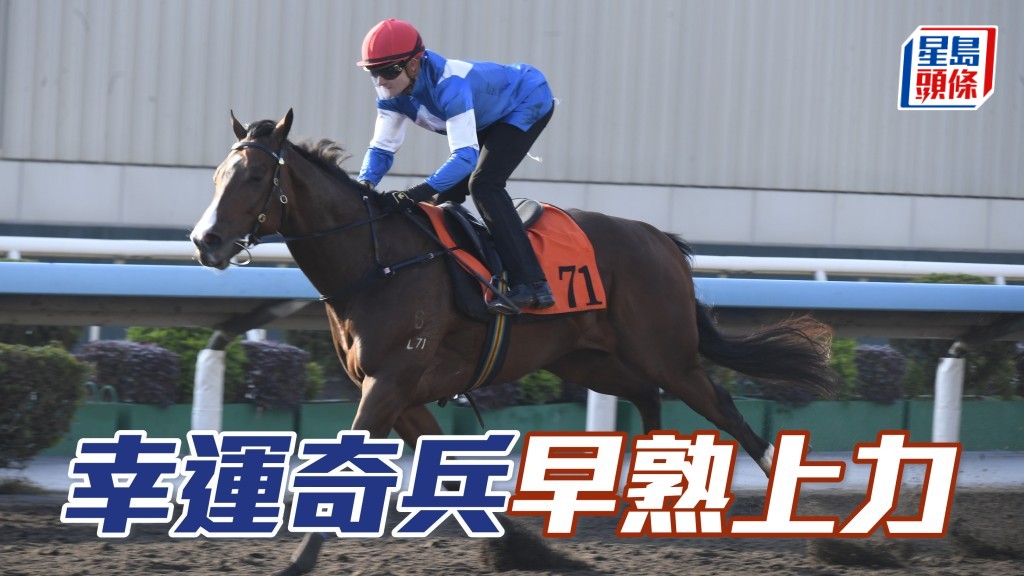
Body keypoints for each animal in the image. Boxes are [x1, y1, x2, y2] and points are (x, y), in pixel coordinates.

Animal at [191, 110, 835, 574]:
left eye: (254, 177)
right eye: (217, 176)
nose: (204, 240)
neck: (378, 263)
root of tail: (662, 241)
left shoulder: (390, 381)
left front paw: (297, 563)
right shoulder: (403, 394)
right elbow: (447, 474)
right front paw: (521, 549)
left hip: (666, 353)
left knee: (722, 409)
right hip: (588, 360)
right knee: (646, 397)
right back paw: (636, 497)